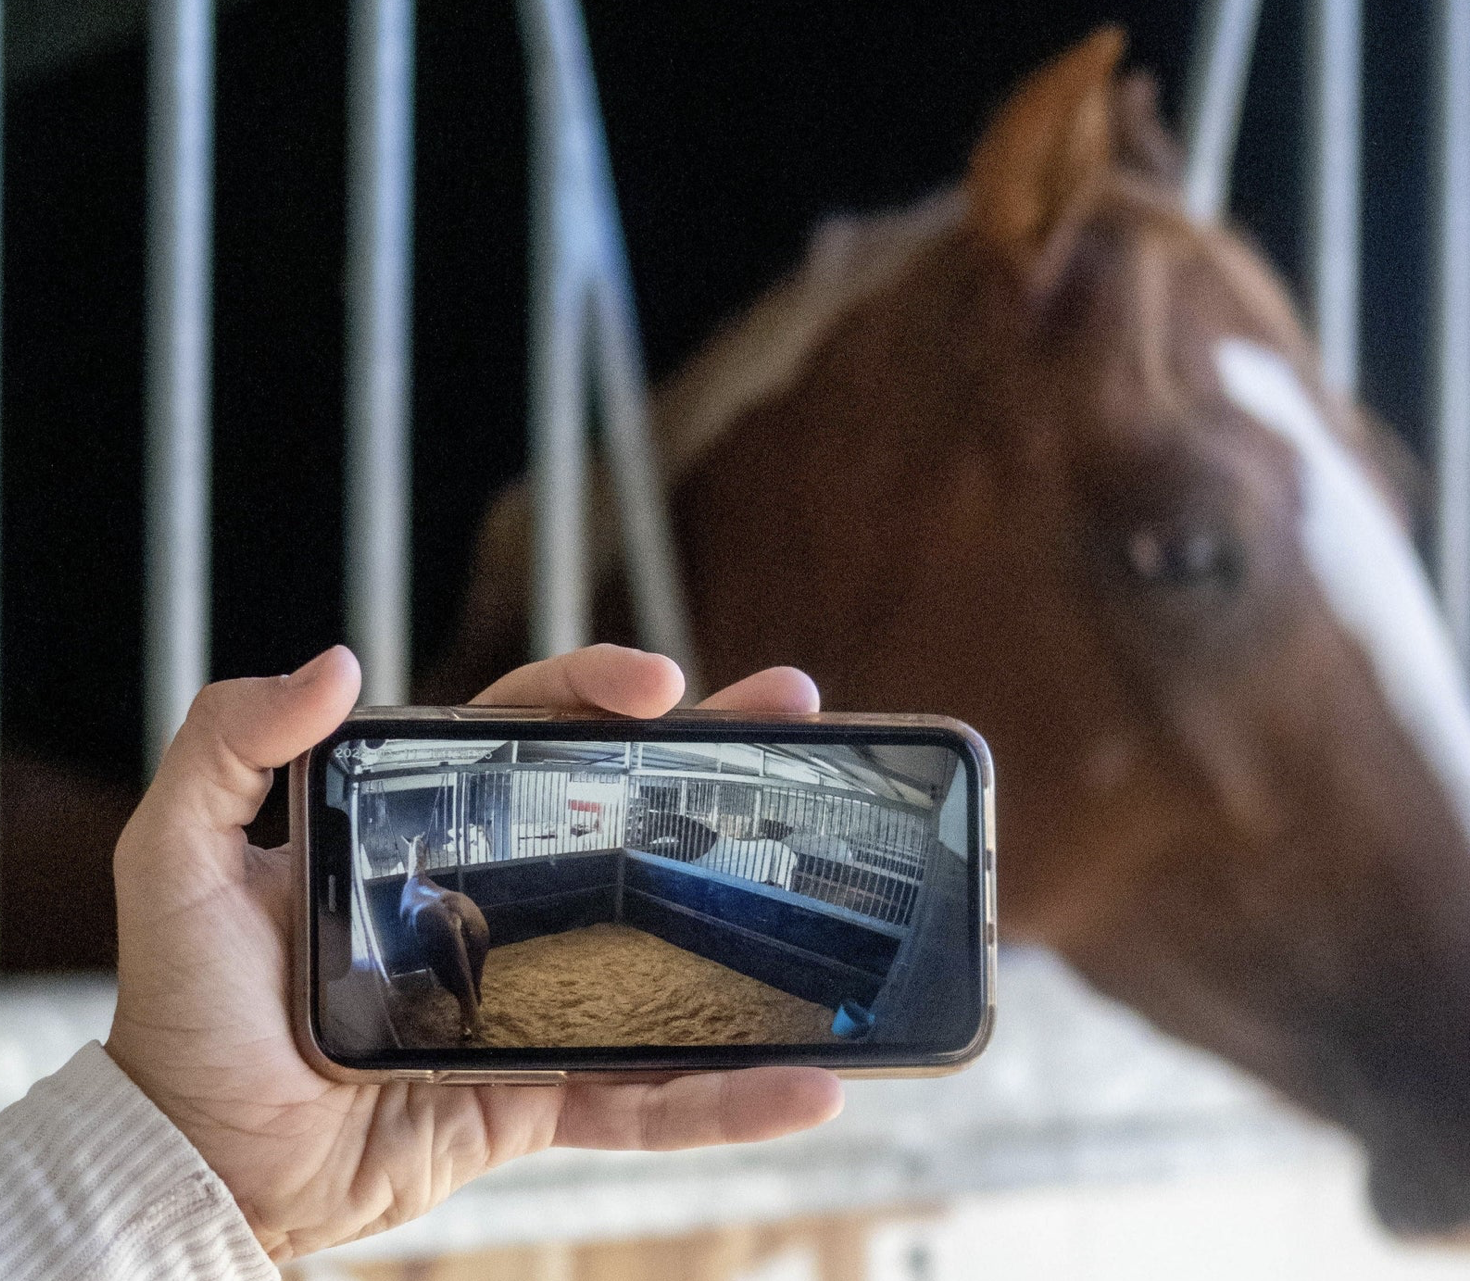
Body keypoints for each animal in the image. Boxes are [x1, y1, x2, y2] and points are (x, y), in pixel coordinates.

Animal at [398, 834, 492, 1040]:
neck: (417, 877)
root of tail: (454, 915)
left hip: (445, 967)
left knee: (461, 995)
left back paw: (464, 1030)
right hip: (477, 961)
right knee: (475, 992)